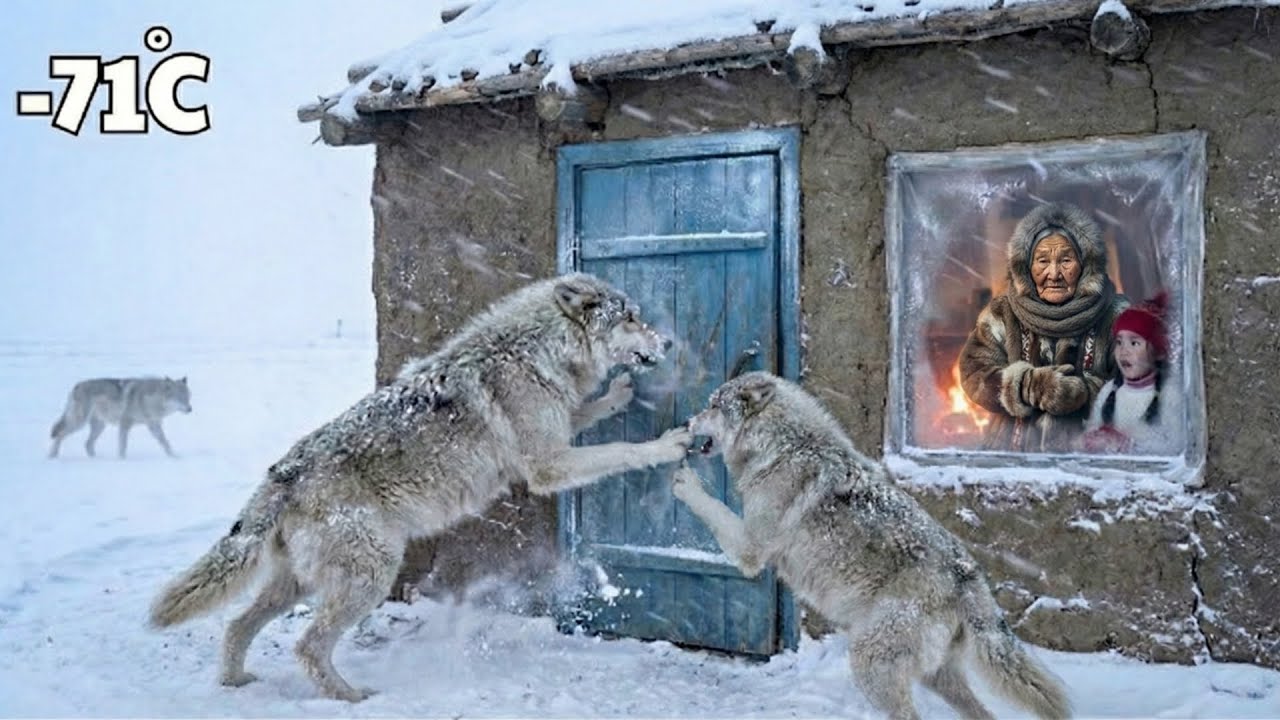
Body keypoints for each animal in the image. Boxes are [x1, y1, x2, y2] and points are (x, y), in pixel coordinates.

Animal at [49, 376, 192, 459]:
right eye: (179, 398)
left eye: (188, 397)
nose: (190, 409)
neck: (147, 400)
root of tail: (76, 385)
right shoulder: (125, 424)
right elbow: (123, 446)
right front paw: (122, 460)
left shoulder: (154, 425)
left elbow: (165, 442)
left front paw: (174, 456)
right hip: (79, 423)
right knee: (60, 434)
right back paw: (52, 456)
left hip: (99, 426)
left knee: (88, 444)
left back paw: (96, 459)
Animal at [148, 273, 694, 702]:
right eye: (631, 317)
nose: (668, 344)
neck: (537, 352)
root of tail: (283, 472)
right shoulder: (548, 466)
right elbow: (620, 450)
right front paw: (667, 444)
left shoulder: (557, 433)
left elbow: (590, 410)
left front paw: (618, 393)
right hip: (371, 575)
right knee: (307, 645)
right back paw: (351, 697)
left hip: (299, 584)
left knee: (238, 625)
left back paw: (235, 683)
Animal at [673, 372, 1072, 720]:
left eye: (713, 406)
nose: (687, 422)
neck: (782, 447)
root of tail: (969, 578)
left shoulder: (751, 550)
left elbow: (713, 508)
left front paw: (683, 481)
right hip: (936, 677)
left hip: (870, 664)